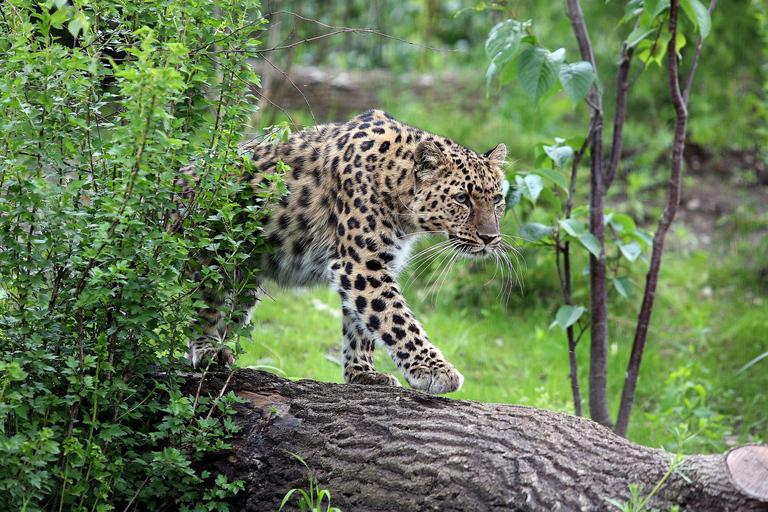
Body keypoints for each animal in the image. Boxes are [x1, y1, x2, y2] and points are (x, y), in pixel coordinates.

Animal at [177, 110, 508, 394]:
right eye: (462, 198)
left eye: (498, 200)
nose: (490, 238)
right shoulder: (361, 264)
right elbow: (395, 319)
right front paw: (434, 370)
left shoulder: (371, 265)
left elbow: (361, 325)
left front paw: (363, 374)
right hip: (209, 257)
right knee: (203, 305)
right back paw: (208, 350)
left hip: (246, 277)